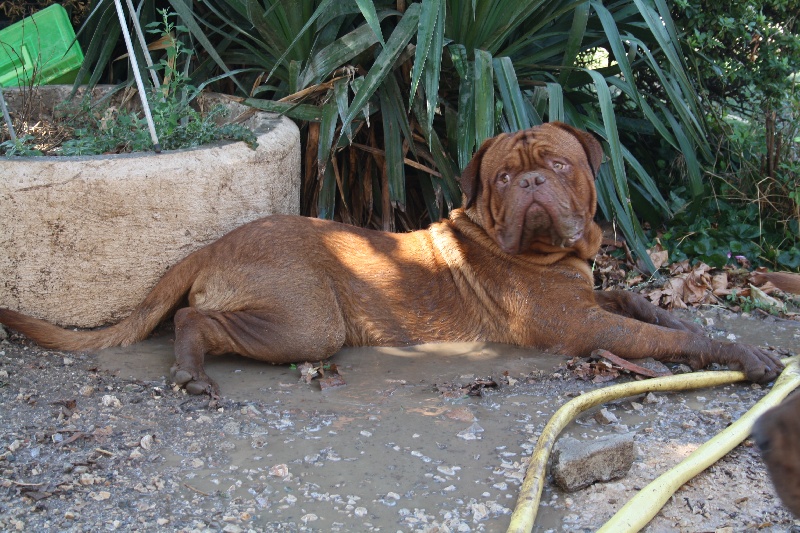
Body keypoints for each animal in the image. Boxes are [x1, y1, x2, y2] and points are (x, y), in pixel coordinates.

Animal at [0, 121, 780, 394]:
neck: (545, 257)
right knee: (196, 321)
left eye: (557, 165)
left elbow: (643, 303)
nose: (531, 185)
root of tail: (210, 244)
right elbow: (659, 335)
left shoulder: (593, 298)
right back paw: (191, 372)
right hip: (309, 321)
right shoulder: (583, 326)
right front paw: (742, 354)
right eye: (504, 176)